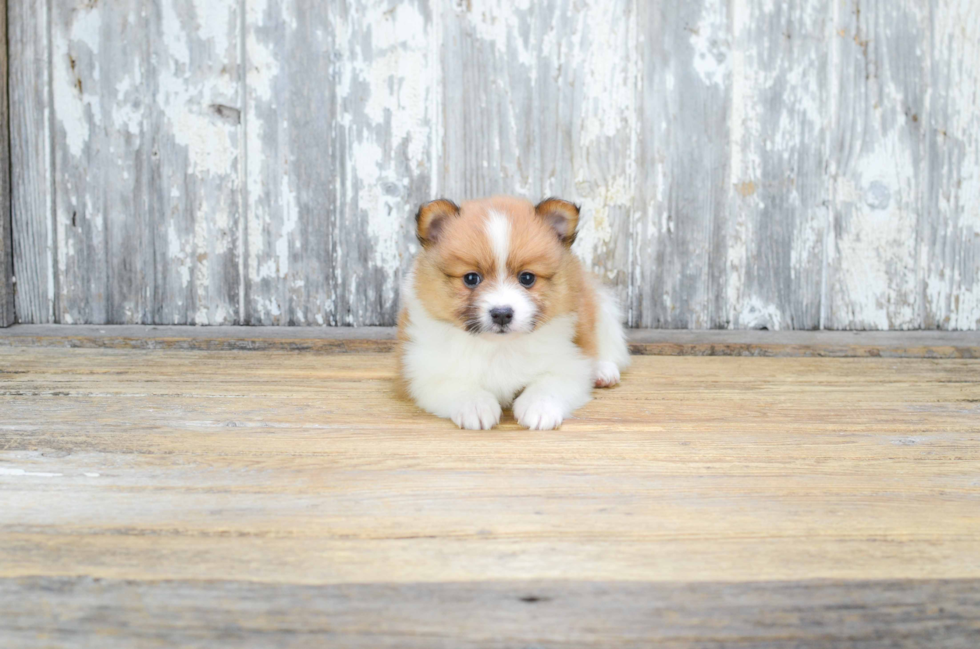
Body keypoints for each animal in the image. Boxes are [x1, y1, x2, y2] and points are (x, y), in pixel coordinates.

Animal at [396, 197, 628, 430]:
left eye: (527, 278)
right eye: (471, 278)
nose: (501, 314)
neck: (500, 347)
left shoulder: (570, 362)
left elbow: (549, 383)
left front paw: (539, 407)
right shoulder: (425, 371)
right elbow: (456, 385)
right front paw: (475, 405)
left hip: (601, 308)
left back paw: (603, 370)